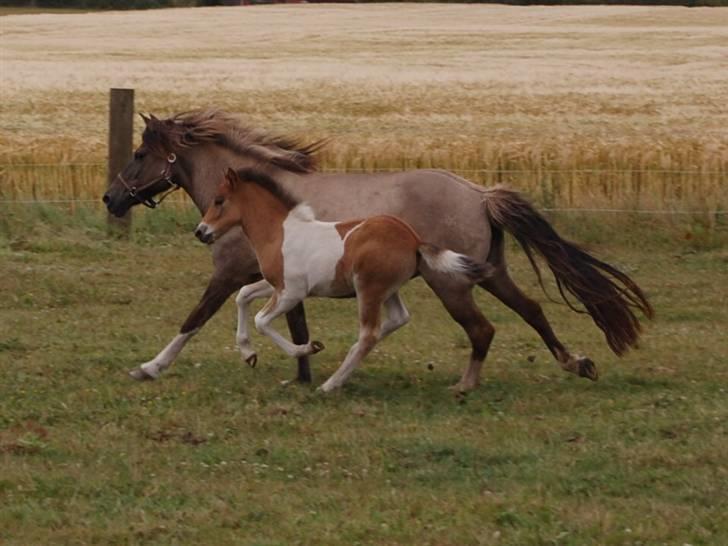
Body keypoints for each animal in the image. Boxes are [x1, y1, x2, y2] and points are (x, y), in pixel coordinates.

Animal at [196, 167, 486, 392]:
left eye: (219, 200)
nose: (200, 231)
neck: (279, 232)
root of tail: (414, 239)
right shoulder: (276, 285)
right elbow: (243, 295)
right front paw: (249, 354)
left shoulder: (291, 292)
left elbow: (261, 321)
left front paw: (308, 348)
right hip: (387, 291)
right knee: (397, 319)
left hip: (368, 289)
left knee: (369, 334)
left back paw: (330, 385)